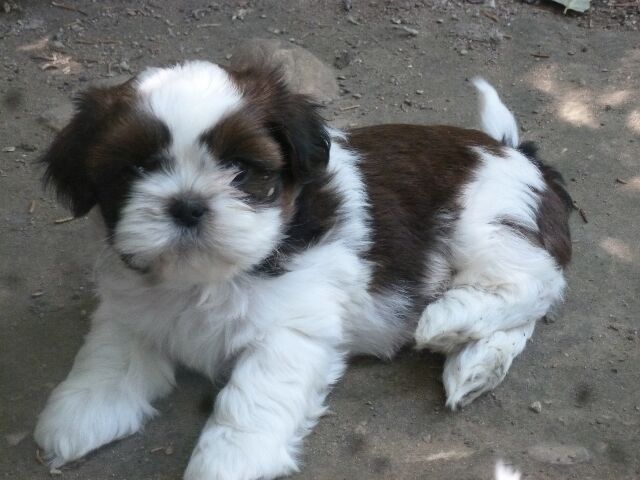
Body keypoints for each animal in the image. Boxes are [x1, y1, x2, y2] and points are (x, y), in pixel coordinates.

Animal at [34, 61, 571, 479]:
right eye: (135, 169)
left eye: (241, 169)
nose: (187, 205)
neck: (208, 277)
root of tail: (515, 152)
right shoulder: (130, 301)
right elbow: (112, 351)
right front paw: (84, 410)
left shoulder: (292, 328)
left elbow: (253, 396)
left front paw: (230, 462)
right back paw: (473, 362)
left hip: (484, 222)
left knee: (533, 282)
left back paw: (450, 320)